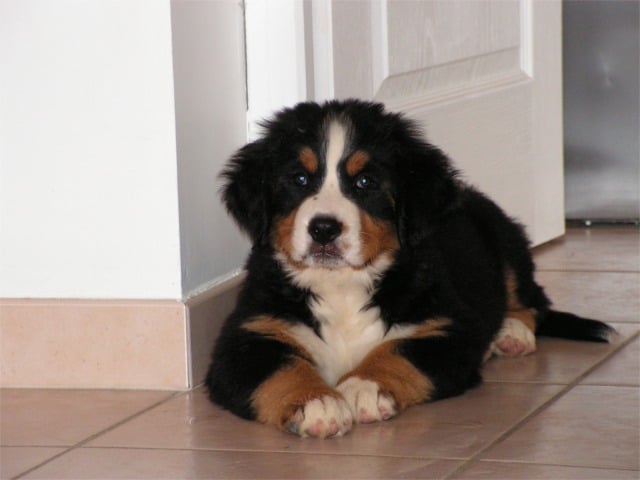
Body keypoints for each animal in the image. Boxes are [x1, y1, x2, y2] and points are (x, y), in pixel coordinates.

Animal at [205, 99, 614, 438]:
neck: (341, 284)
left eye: (365, 182)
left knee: (531, 300)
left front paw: (363, 387)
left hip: (504, 238)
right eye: (299, 179)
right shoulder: (249, 333)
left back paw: (511, 333)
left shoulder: (447, 327)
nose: (323, 229)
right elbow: (281, 368)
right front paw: (316, 403)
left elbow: (399, 351)